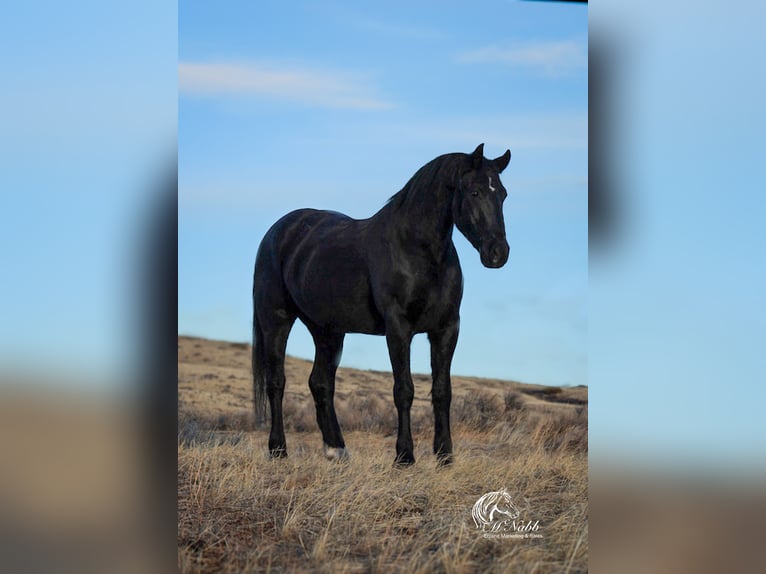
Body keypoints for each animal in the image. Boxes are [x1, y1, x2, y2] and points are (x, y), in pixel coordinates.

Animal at [255, 145, 512, 468]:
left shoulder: (446, 328)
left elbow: (442, 391)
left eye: (502, 193)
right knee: (276, 382)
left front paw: (445, 456)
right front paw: (405, 457)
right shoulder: (398, 329)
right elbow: (404, 390)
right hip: (276, 320)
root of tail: (278, 231)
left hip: (327, 330)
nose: (498, 253)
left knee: (321, 383)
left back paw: (337, 450)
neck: (415, 250)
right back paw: (278, 450)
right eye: (475, 191)